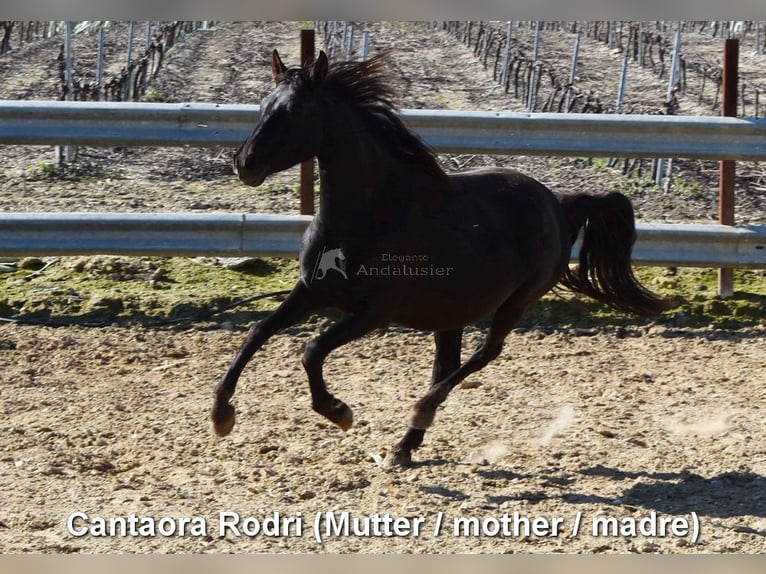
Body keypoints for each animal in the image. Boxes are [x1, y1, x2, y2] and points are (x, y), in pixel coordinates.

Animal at [213, 50, 668, 468]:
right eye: (263, 104)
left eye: (296, 110)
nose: (244, 163)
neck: (369, 215)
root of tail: (560, 204)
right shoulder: (311, 292)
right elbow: (257, 332)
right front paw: (221, 416)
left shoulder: (373, 313)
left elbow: (310, 349)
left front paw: (339, 412)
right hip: (452, 311)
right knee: (448, 363)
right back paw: (403, 447)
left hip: (517, 302)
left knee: (484, 354)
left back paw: (420, 412)